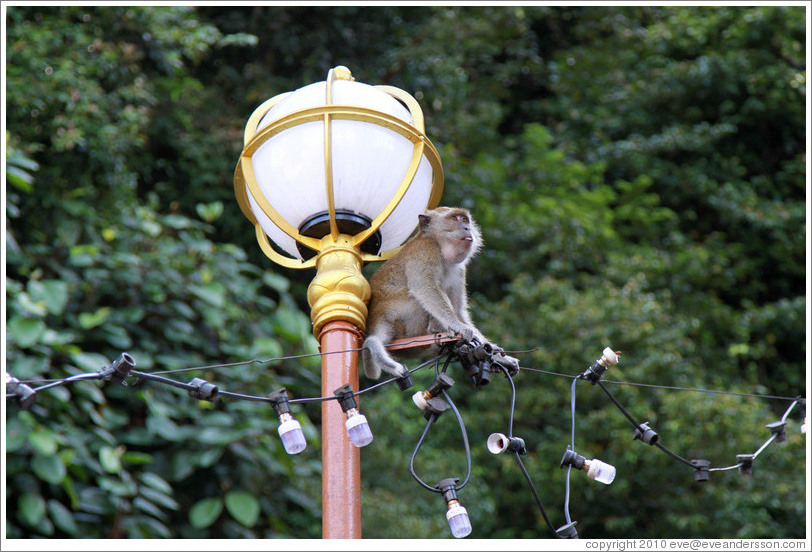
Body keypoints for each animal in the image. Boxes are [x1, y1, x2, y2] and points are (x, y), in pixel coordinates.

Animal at [362, 206, 520, 380]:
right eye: (455, 219)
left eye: (465, 219)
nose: (467, 228)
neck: (437, 242)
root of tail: (377, 318)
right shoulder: (426, 249)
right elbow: (424, 287)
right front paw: (459, 327)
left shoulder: (459, 270)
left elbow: (458, 310)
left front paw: (498, 356)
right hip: (401, 317)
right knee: (418, 296)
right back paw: (436, 329)